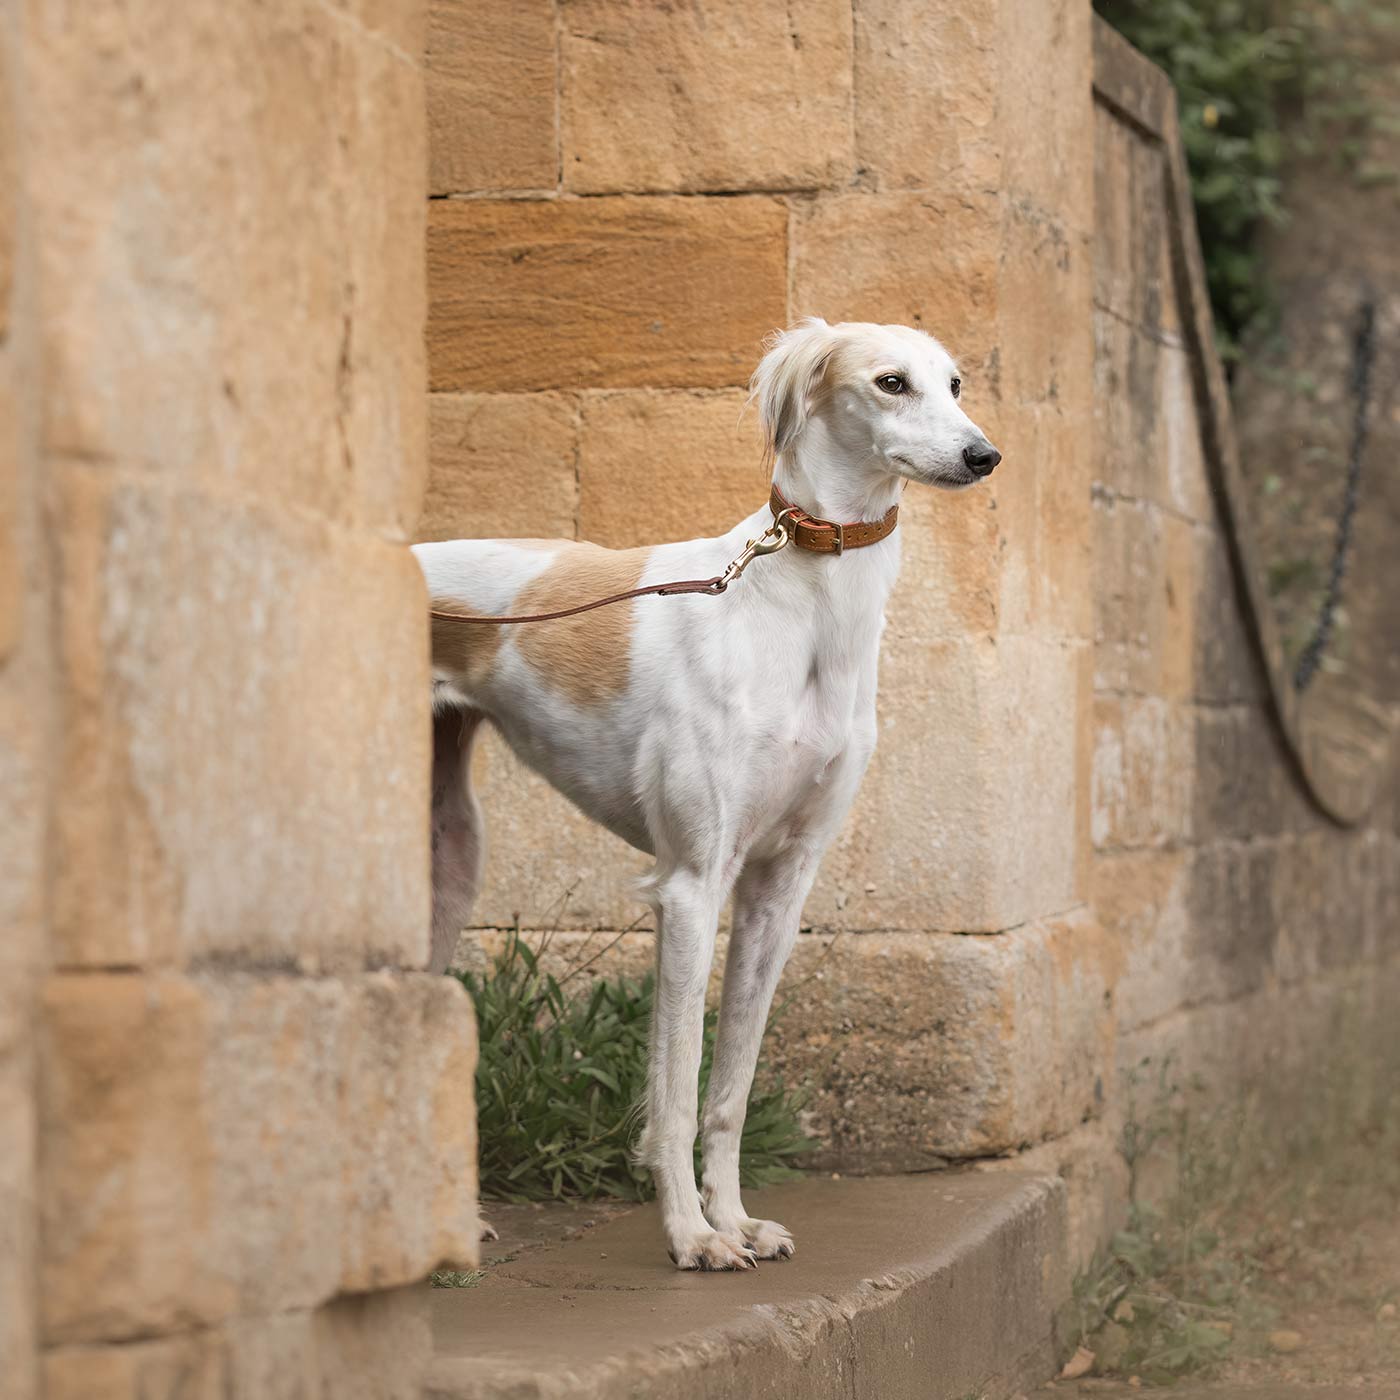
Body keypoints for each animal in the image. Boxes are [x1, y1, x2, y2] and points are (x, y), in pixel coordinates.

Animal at [408, 317, 1002, 1271]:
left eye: (953, 383)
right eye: (890, 382)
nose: (984, 456)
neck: (799, 602)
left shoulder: (778, 886)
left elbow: (731, 1086)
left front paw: (736, 1219)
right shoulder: (692, 884)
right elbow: (678, 1087)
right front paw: (692, 1235)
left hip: (448, 861)